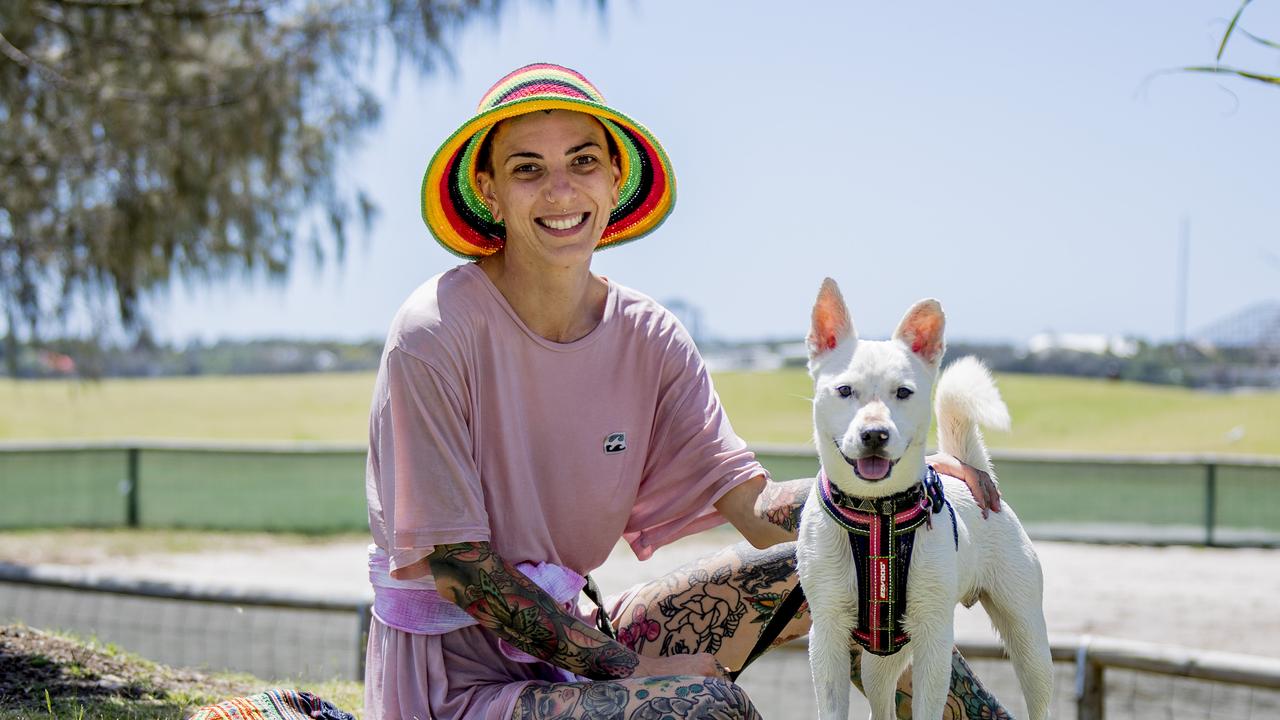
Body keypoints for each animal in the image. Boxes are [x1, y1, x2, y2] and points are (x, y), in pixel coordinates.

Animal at [798, 278, 1049, 712]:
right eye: (845, 390)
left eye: (903, 392)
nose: (875, 434)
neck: (878, 512)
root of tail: (970, 468)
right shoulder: (826, 634)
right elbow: (831, 706)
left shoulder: (934, 637)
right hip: (881, 659)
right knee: (880, 707)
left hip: (1027, 635)